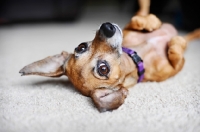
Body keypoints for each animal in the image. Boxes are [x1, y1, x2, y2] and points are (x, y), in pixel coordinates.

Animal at [19, 0, 200, 112]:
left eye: (81, 47)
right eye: (103, 69)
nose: (107, 27)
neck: (136, 56)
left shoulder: (127, 29)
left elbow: (137, 19)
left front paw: (151, 22)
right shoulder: (177, 66)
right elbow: (175, 52)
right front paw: (176, 41)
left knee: (142, 10)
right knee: (189, 36)